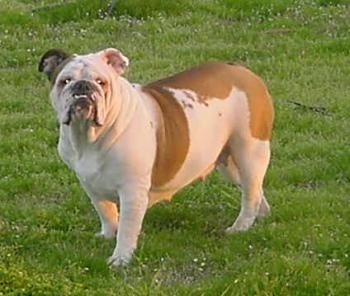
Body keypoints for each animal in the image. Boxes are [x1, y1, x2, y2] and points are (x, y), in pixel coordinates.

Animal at [37, 48, 274, 266]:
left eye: (101, 82)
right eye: (65, 81)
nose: (83, 87)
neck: (88, 137)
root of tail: (242, 71)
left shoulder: (132, 192)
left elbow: (127, 228)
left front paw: (120, 259)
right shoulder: (90, 185)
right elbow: (106, 213)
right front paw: (107, 235)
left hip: (249, 151)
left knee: (250, 192)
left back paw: (240, 227)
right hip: (230, 164)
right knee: (253, 189)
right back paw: (260, 216)